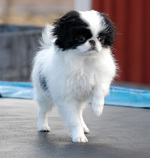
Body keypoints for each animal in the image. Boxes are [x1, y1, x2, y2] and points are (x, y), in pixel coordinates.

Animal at [31, 10, 116, 143]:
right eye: (81, 38)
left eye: (101, 39)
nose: (93, 41)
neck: (84, 60)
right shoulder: (67, 99)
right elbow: (73, 120)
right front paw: (78, 136)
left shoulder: (103, 77)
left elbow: (100, 90)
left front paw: (97, 109)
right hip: (44, 96)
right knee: (43, 111)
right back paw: (43, 126)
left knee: (79, 112)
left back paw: (84, 126)